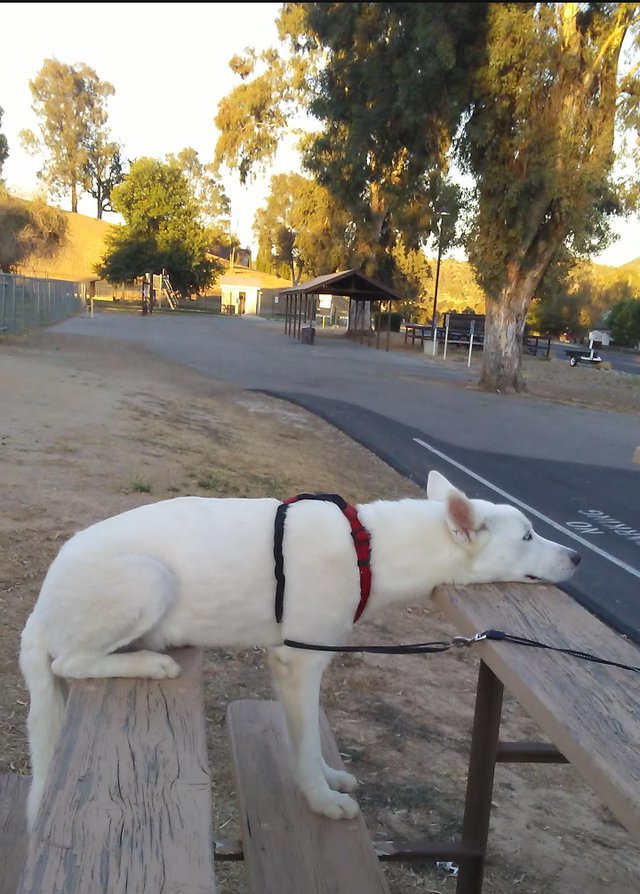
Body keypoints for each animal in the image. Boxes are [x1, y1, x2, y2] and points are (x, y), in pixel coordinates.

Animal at [20, 472, 580, 828]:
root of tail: (39, 610)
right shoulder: (299, 661)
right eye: (528, 536)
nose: (577, 557)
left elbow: (306, 740)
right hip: (150, 579)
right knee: (71, 661)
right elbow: (308, 743)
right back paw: (150, 662)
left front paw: (326, 779)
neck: (369, 549)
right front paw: (321, 799)